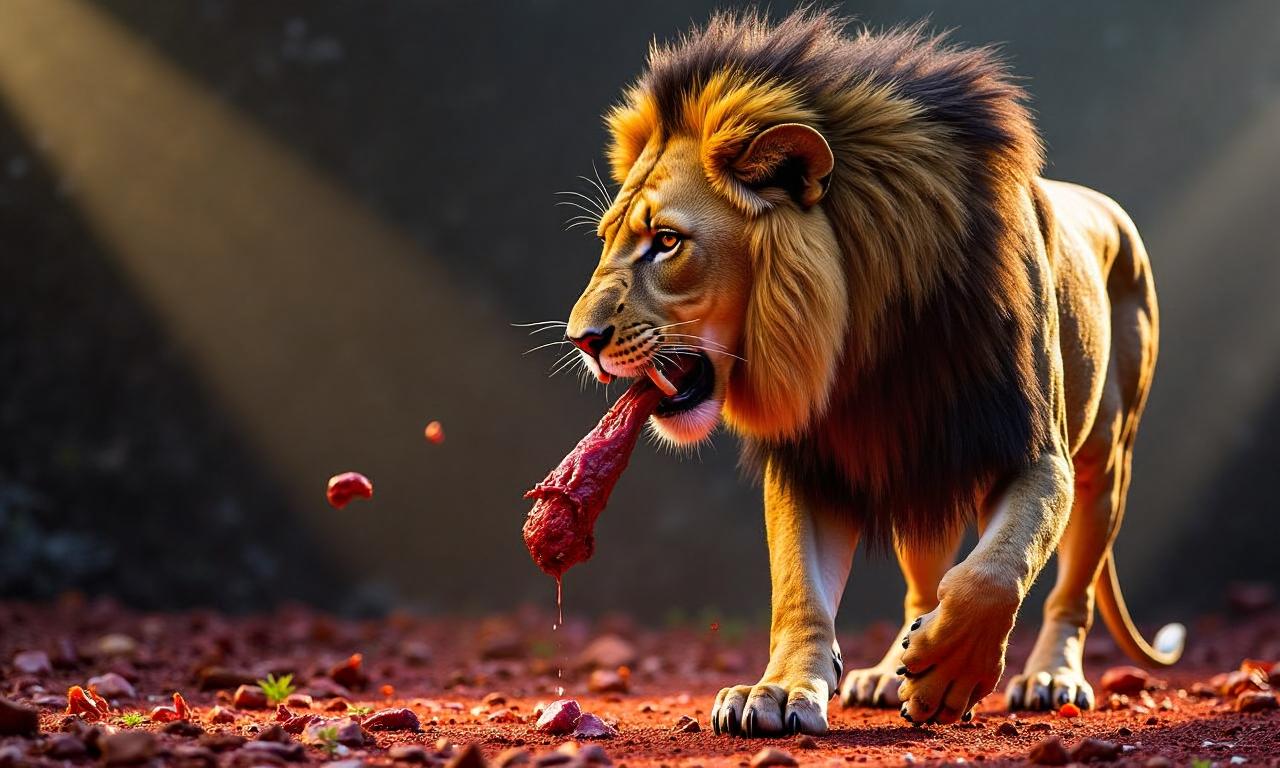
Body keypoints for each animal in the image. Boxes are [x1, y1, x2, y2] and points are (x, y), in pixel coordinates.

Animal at [562, 10, 1184, 736]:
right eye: (607, 238)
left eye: (666, 242)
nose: (581, 339)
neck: (863, 335)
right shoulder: (814, 459)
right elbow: (799, 588)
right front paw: (778, 691)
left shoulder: (1036, 450)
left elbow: (997, 569)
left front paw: (948, 674)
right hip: (921, 472)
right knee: (923, 584)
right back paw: (890, 671)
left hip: (1103, 464)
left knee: (1070, 589)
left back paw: (1050, 676)